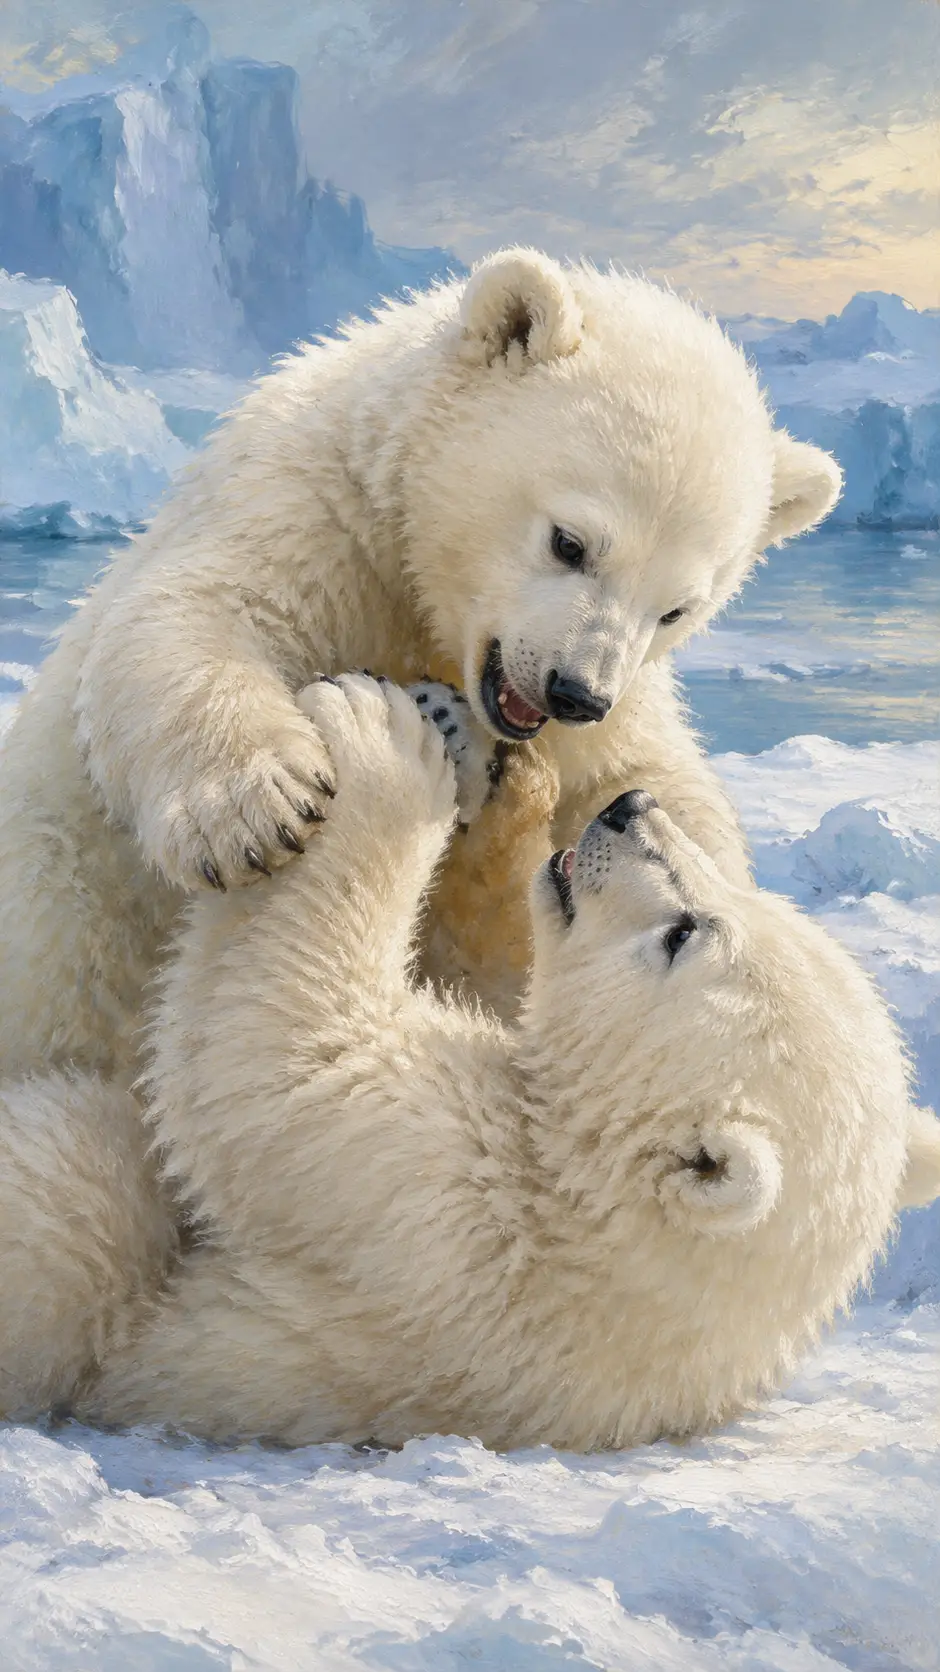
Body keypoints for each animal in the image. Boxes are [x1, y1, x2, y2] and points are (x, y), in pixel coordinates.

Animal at [0, 247, 843, 1083]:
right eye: (569, 541)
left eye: (677, 609)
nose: (574, 692)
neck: (421, 592)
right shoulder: (315, 512)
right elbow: (195, 612)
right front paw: (261, 810)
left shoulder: (622, 697)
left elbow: (639, 772)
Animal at [35, 674, 931, 1451]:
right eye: (750, 900)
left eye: (686, 934)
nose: (628, 810)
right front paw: (507, 785)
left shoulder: (447, 1213)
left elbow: (279, 1056)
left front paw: (384, 738)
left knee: (86, 1183)